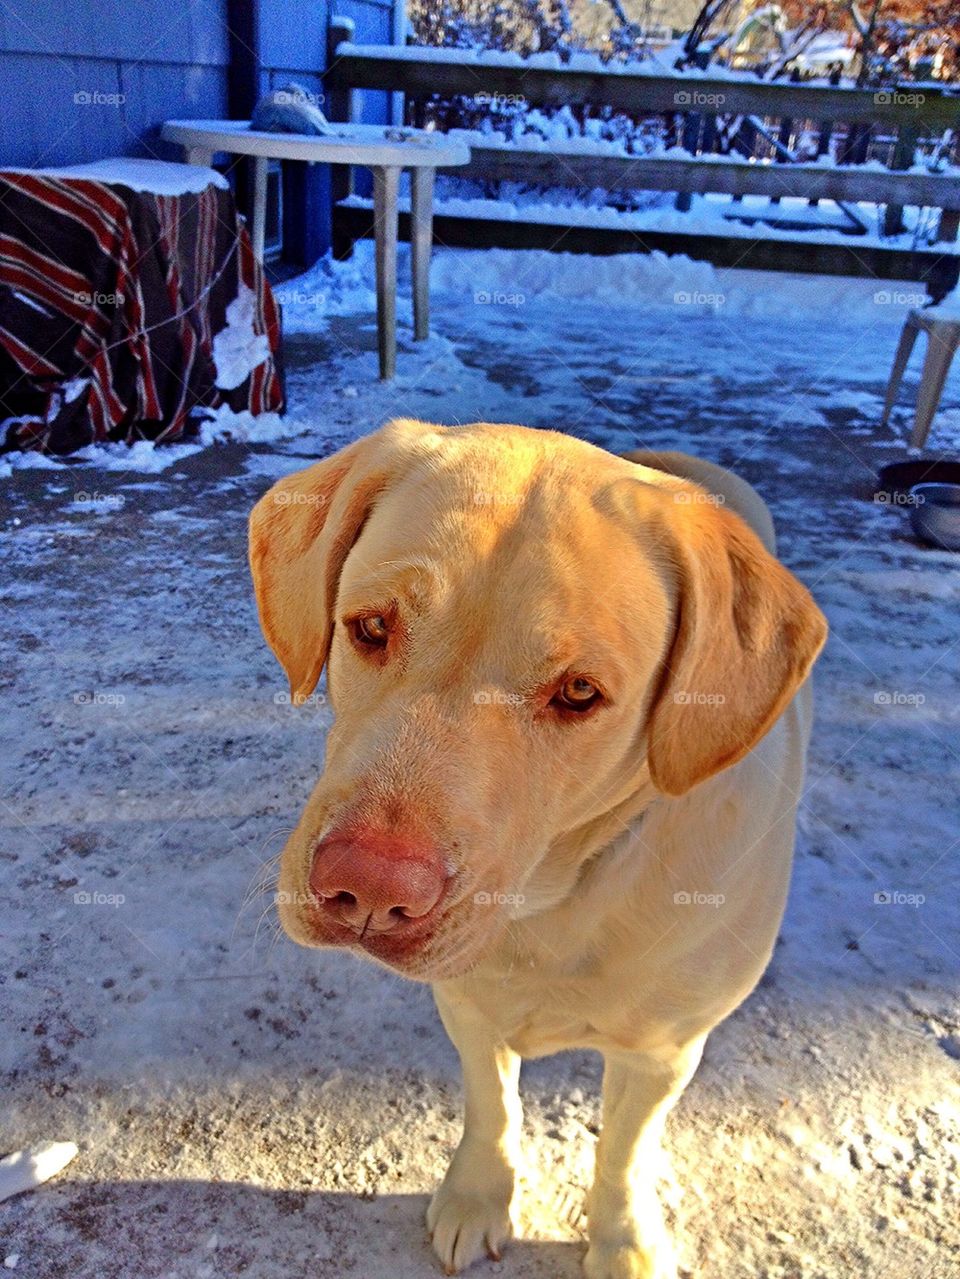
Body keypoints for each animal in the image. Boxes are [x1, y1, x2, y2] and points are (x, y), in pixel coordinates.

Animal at [251, 414, 828, 1273]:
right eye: (372, 626)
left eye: (580, 692)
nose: (368, 888)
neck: (560, 894)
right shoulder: (468, 1006)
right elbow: (492, 1105)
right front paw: (478, 1194)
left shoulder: (662, 1050)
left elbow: (624, 1149)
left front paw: (623, 1237)